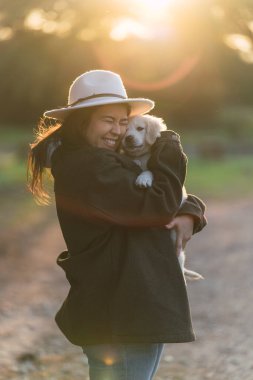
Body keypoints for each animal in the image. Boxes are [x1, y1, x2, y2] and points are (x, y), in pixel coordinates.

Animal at [121, 114, 203, 280]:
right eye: (124, 129)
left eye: (140, 128)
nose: (128, 138)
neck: (140, 156)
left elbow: (150, 170)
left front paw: (143, 178)